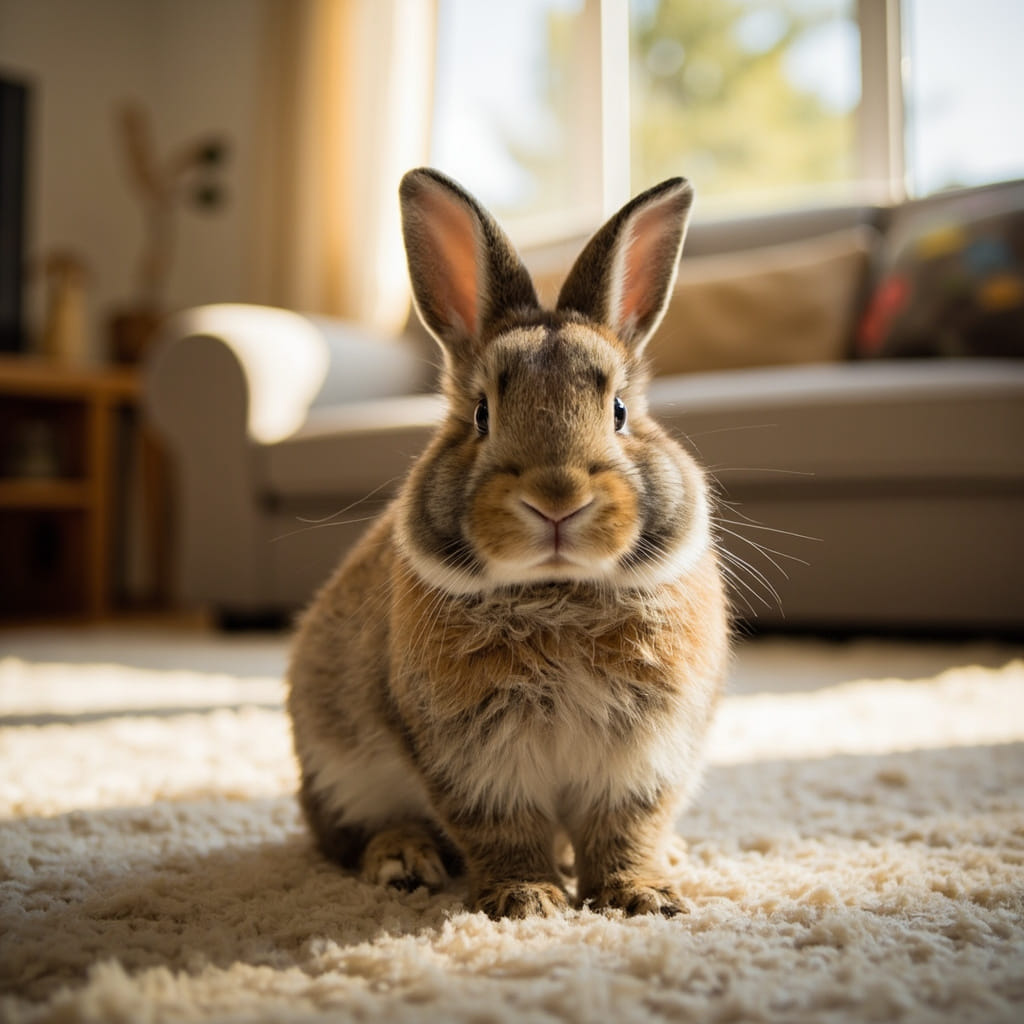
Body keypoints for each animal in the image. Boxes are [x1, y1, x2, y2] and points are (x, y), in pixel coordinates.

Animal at [287, 167, 729, 920]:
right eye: (481, 415)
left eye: (619, 412)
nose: (557, 499)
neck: (558, 591)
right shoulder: (475, 762)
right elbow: (503, 829)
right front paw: (529, 900)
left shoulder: (644, 758)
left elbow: (626, 827)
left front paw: (640, 896)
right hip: (334, 762)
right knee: (348, 833)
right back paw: (403, 860)